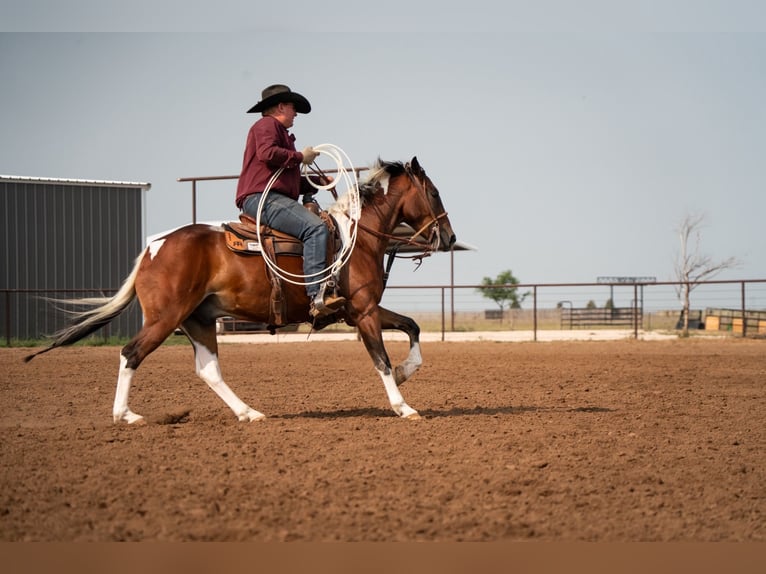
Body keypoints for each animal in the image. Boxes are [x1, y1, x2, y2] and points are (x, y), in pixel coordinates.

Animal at [25, 157, 456, 423]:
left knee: (208, 370)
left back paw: (248, 412)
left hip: (198, 321)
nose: (450, 237)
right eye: (434, 192)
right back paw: (125, 415)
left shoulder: (360, 311)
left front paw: (405, 372)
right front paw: (403, 405)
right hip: (166, 319)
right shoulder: (364, 312)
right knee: (131, 354)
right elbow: (380, 359)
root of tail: (153, 248)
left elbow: (413, 326)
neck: (355, 237)